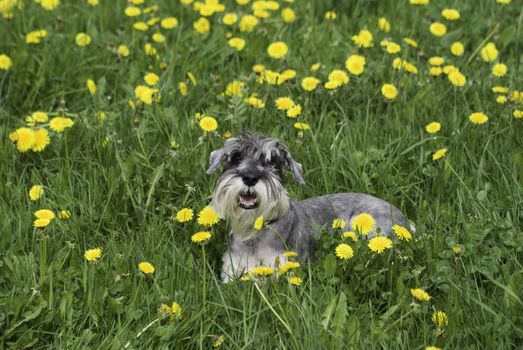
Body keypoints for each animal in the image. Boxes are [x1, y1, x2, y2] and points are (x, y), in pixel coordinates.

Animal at [207, 131, 412, 282]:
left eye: (273, 161)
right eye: (236, 157)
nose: (250, 177)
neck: (254, 231)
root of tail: (405, 221)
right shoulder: (231, 269)